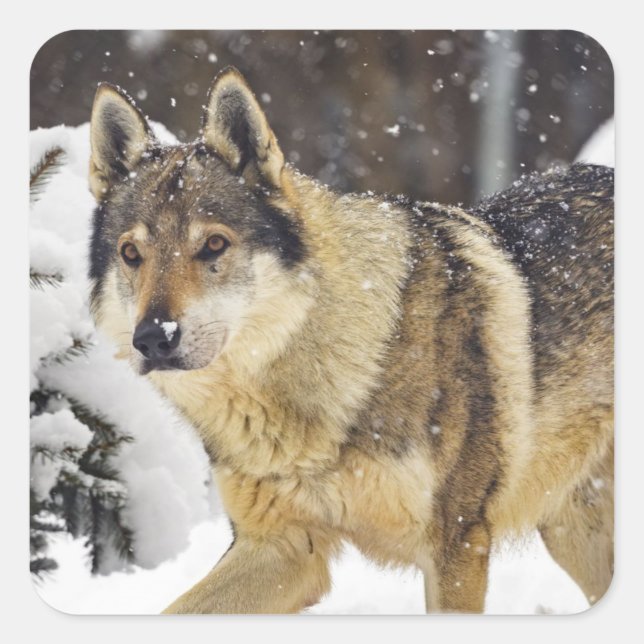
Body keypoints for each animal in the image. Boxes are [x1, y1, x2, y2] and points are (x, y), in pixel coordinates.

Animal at [87, 67, 614, 614]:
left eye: (213, 244)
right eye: (131, 254)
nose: (153, 338)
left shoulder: (457, 543)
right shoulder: (279, 549)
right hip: (573, 532)